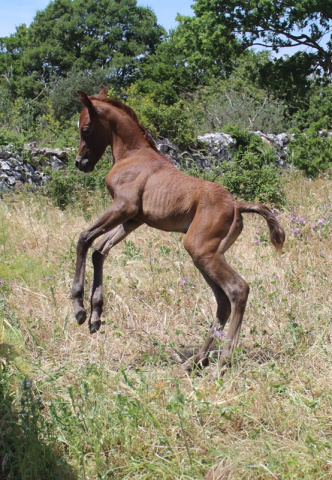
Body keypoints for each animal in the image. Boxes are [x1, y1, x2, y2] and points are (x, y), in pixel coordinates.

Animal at [71, 85, 284, 372]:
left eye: (85, 128)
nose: (80, 163)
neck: (134, 155)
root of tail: (237, 205)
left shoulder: (123, 207)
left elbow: (84, 239)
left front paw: (79, 310)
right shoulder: (133, 219)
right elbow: (99, 250)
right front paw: (95, 317)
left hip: (201, 250)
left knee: (238, 289)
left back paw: (222, 363)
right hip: (207, 255)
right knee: (222, 302)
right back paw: (197, 360)